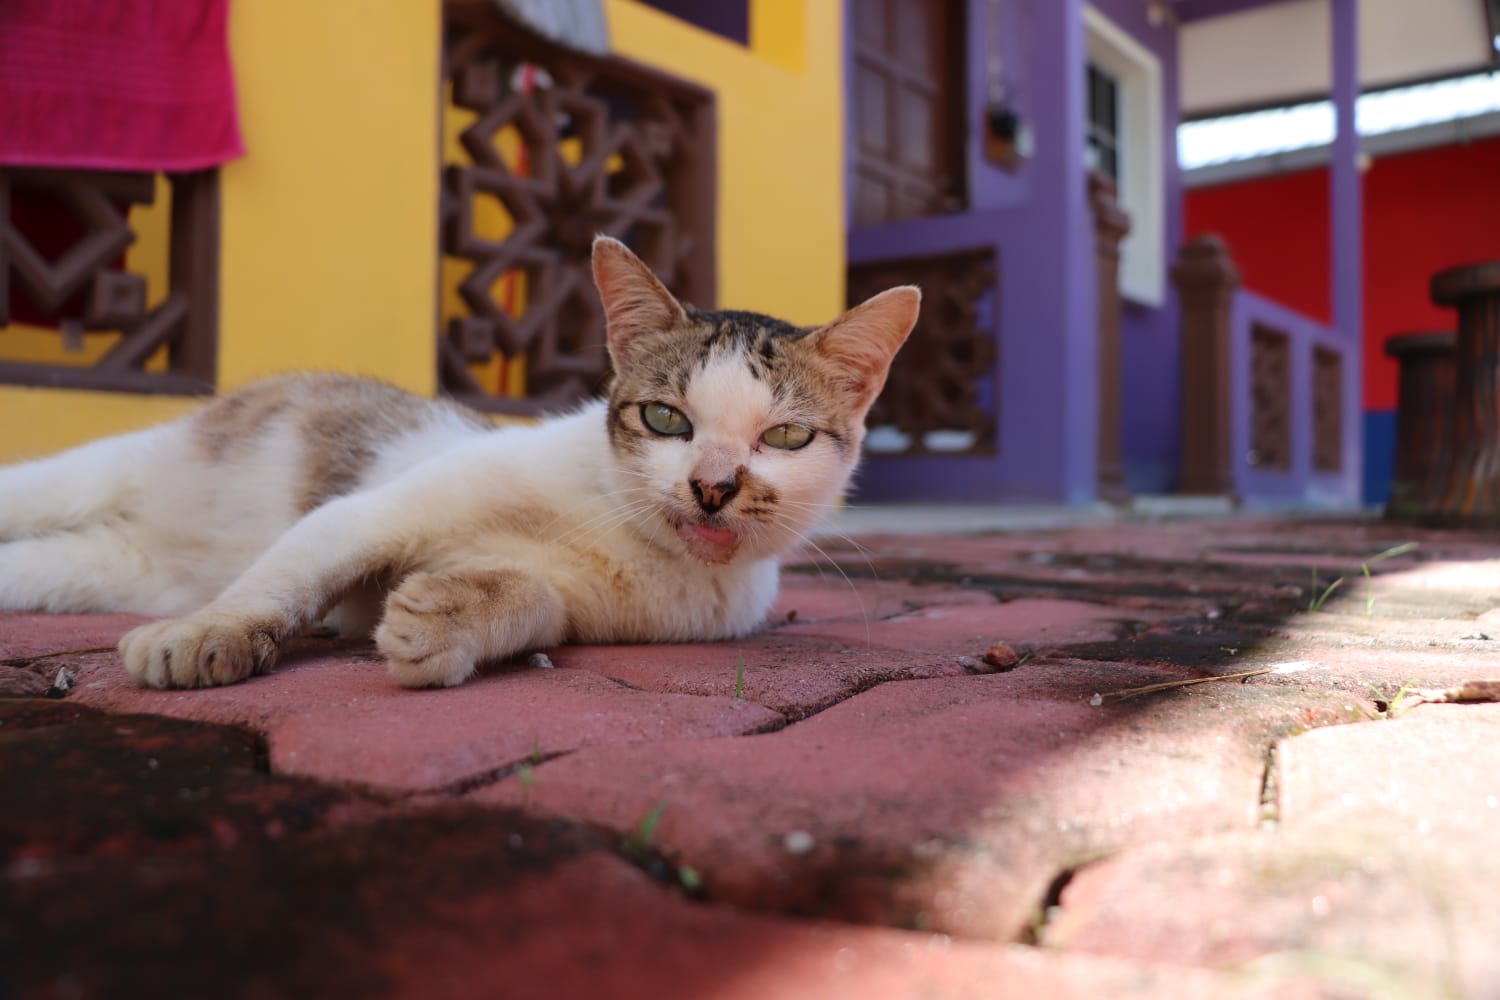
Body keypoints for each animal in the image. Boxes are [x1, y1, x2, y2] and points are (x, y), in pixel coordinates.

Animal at [0, 236, 918, 689]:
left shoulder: (586, 611)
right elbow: (289, 575)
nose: (714, 486)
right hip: (102, 473)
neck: (620, 533)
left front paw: (440, 619)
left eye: (785, 438)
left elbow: (535, 602)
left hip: (97, 568)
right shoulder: (368, 513)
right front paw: (208, 635)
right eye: (666, 418)